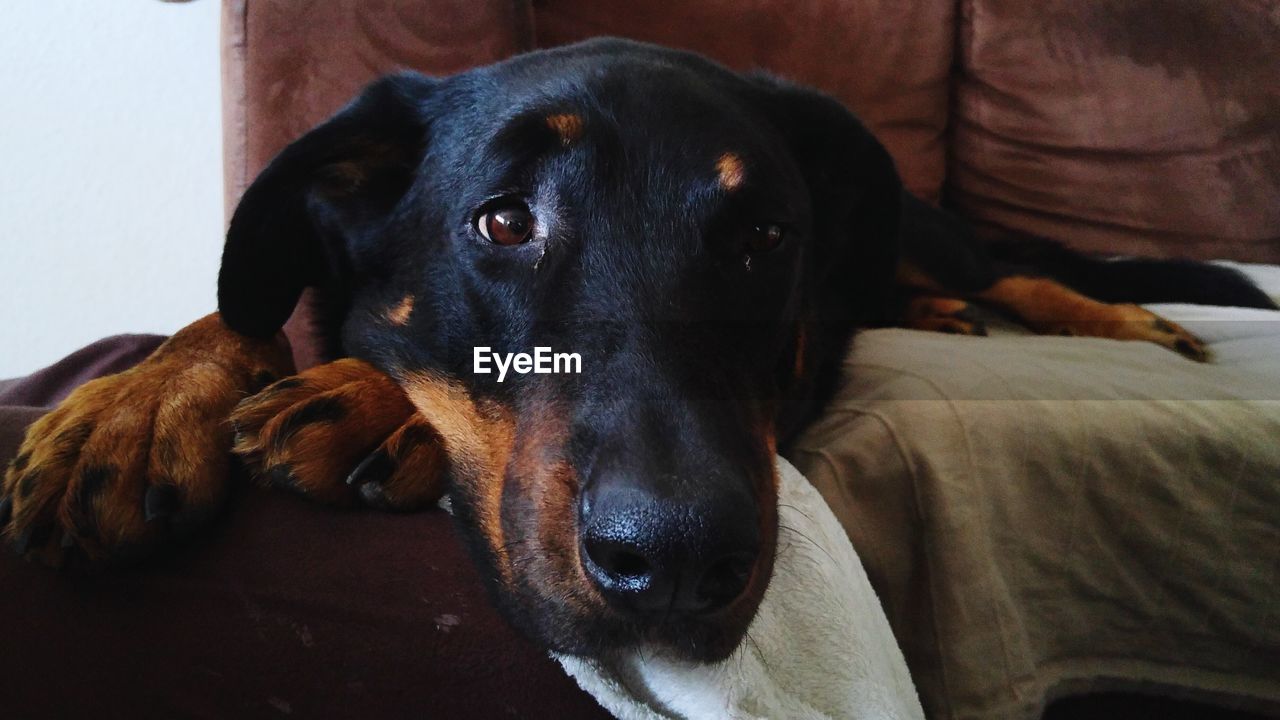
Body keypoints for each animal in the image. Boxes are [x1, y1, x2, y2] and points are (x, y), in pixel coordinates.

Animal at [5, 36, 1274, 661]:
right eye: (501, 222)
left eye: (763, 238)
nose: (671, 563)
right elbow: (236, 310)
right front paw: (136, 404)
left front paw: (374, 404)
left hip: (922, 229)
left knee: (1015, 266)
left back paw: (1118, 318)